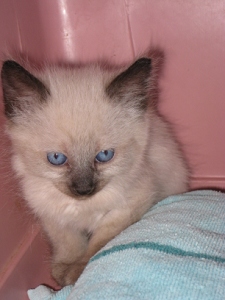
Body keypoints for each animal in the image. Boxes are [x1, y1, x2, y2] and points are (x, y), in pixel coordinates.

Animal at [0, 52, 189, 286]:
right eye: (56, 158)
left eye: (105, 155)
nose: (84, 190)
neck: (83, 207)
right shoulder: (50, 212)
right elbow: (68, 242)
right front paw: (63, 271)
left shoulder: (128, 207)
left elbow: (98, 245)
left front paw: (77, 274)